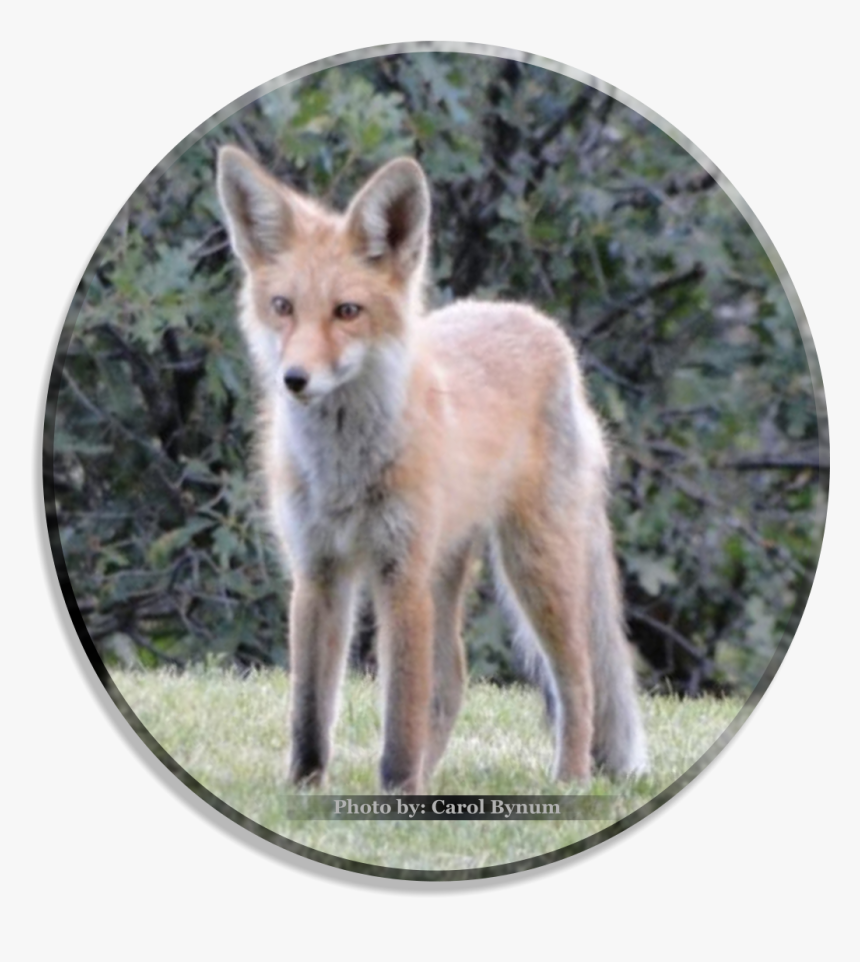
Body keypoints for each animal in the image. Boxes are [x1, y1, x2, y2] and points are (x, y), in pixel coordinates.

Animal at [216, 146, 648, 794]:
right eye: (282, 308)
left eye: (348, 312)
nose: (294, 379)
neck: (345, 472)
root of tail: (542, 325)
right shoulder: (318, 571)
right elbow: (310, 712)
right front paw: (304, 790)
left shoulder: (403, 574)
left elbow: (401, 717)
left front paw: (398, 795)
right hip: (450, 569)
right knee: (453, 683)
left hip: (534, 565)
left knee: (579, 681)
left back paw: (569, 782)